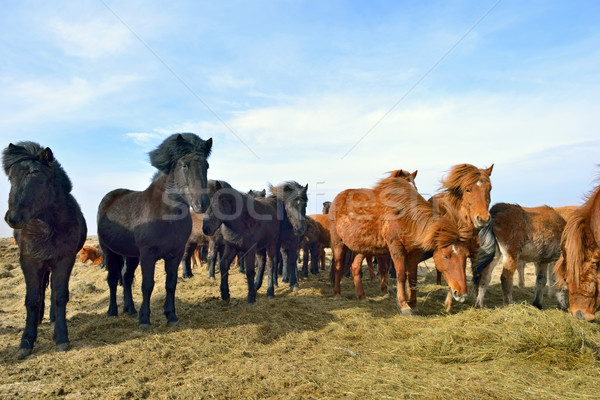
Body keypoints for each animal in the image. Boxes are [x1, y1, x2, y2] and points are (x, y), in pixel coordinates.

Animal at [1, 142, 86, 358]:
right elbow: (32, 299)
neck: (46, 227)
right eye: (11, 178)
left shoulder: (65, 260)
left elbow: (60, 296)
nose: (13, 218)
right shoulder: (29, 261)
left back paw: (53, 320)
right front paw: (26, 342)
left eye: (38, 178)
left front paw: (62, 338)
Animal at [97, 134, 212, 328]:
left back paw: (130, 308)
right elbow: (147, 285)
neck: (165, 215)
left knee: (126, 277)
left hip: (131, 255)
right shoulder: (148, 254)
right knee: (112, 280)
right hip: (110, 252)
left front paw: (171, 316)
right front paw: (144, 319)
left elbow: (171, 284)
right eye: (185, 165)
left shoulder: (175, 254)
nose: (201, 203)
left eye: (206, 165)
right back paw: (112, 311)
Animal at [330, 170, 472, 314]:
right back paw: (337, 295)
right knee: (338, 266)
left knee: (355, 266)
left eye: (466, 255)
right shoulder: (396, 248)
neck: (407, 217)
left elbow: (413, 277)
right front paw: (404, 305)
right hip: (338, 243)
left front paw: (413, 304)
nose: (462, 294)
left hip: (362, 248)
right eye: (445, 256)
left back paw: (362, 297)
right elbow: (401, 275)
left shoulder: (415, 253)